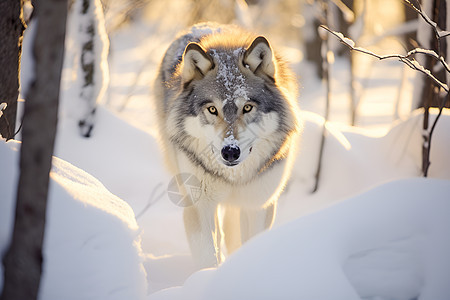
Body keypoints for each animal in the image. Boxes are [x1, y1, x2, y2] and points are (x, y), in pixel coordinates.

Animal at [153, 22, 300, 268]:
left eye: (247, 107)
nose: (230, 152)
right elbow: (208, 257)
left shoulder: (258, 206)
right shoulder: (199, 207)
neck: (234, 179)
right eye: (213, 109)